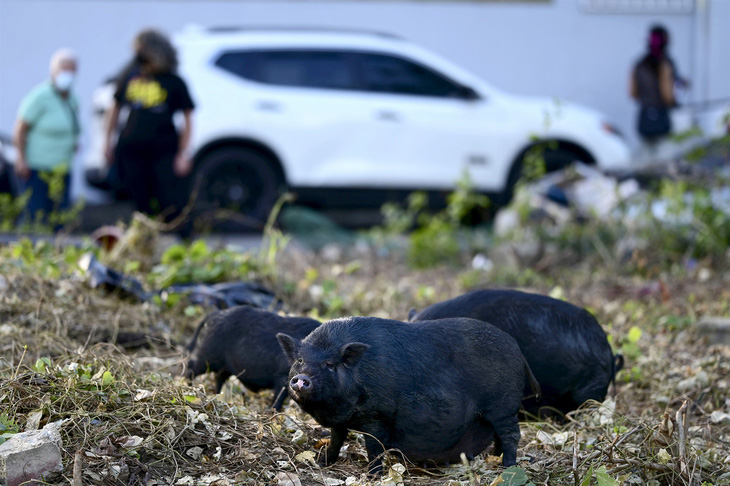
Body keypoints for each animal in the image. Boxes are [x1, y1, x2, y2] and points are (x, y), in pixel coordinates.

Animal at [185, 308, 318, 410]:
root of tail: (214, 315)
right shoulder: (283, 378)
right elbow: (279, 397)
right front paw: (273, 411)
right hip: (207, 355)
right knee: (191, 366)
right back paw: (188, 386)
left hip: (224, 366)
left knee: (218, 377)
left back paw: (216, 395)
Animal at [276, 316, 536, 474]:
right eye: (300, 361)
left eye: (330, 364)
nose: (302, 378)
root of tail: (519, 352)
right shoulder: (341, 420)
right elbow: (336, 440)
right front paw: (322, 462)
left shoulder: (377, 416)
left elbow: (374, 447)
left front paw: (373, 475)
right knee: (500, 437)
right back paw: (495, 458)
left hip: (503, 405)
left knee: (511, 435)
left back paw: (507, 467)